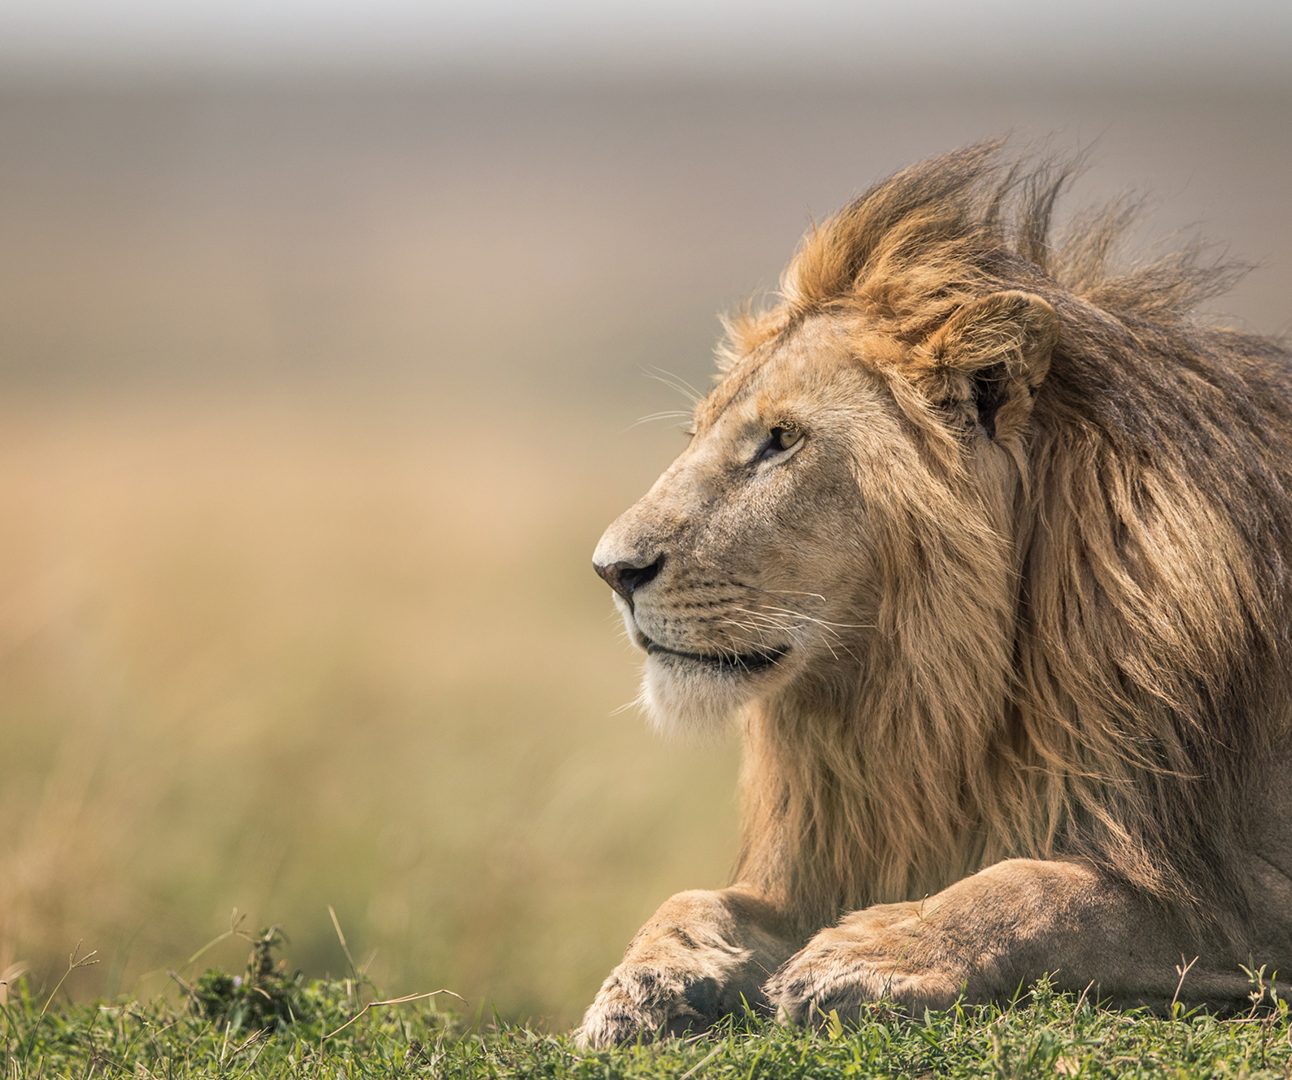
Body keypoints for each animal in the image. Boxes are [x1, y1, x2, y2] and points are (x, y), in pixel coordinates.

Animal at [581, 143, 1292, 1043]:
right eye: (701, 432)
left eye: (781, 441)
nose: (611, 569)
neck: (931, 701)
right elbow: (696, 896)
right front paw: (644, 982)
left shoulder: (1226, 887)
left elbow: (1051, 889)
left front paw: (870, 953)